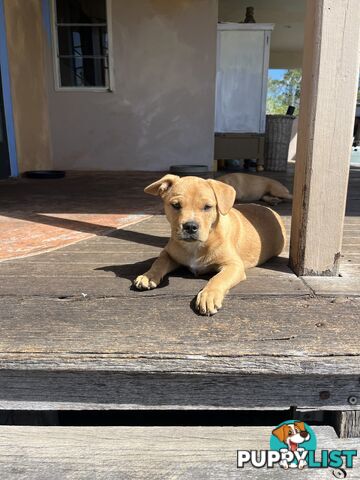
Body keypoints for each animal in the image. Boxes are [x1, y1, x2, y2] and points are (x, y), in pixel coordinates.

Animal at [134, 174, 286, 316]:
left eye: (207, 207)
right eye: (176, 205)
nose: (190, 226)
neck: (196, 246)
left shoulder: (234, 265)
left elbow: (218, 278)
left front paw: (209, 296)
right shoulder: (168, 253)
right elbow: (159, 262)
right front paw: (148, 276)